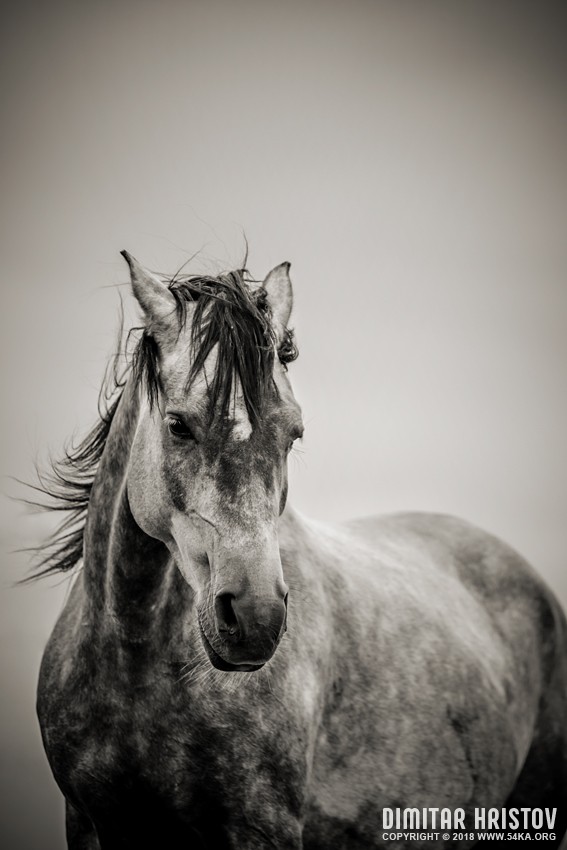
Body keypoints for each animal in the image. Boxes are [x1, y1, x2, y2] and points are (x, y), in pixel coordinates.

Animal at [33, 248, 564, 844]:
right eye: (178, 425)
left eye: (295, 433)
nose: (256, 617)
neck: (132, 665)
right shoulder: (86, 821)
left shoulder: (260, 828)